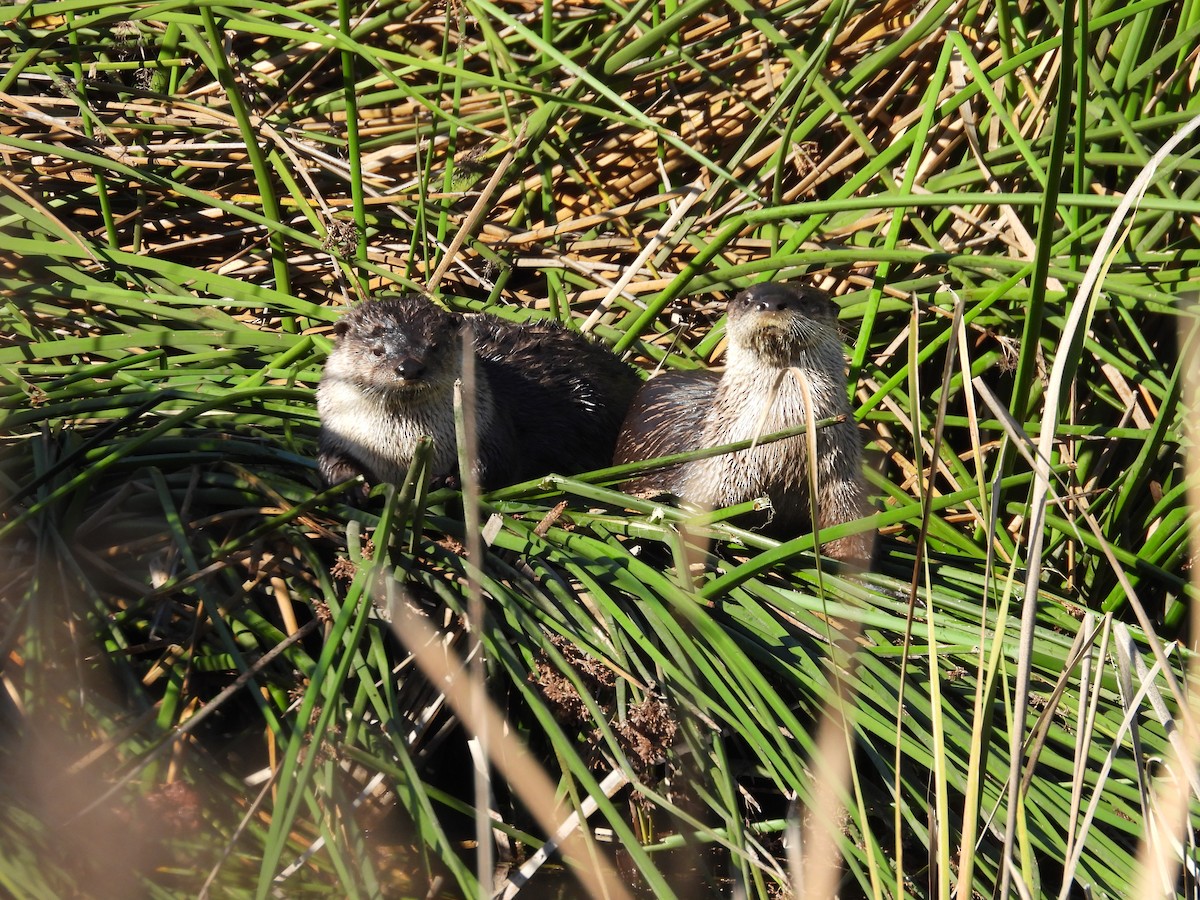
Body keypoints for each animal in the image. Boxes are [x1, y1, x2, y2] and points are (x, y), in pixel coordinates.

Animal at [317, 295, 642, 499]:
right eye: (377, 351)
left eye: (434, 346)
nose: (409, 367)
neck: (399, 450)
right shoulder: (338, 432)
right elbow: (328, 461)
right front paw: (350, 484)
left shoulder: (491, 422)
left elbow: (498, 462)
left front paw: (451, 479)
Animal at [613, 283, 873, 562]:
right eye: (748, 300)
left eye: (804, 299)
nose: (771, 304)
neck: (779, 446)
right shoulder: (708, 483)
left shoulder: (841, 482)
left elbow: (851, 532)